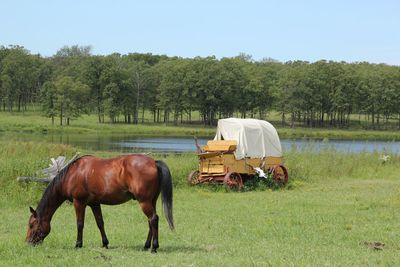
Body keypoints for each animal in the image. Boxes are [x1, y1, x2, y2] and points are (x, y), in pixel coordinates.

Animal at [25, 155, 174, 253]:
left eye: (32, 225)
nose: (28, 242)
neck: (72, 174)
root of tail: (154, 162)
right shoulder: (94, 204)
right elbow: (100, 223)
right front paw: (105, 244)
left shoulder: (79, 202)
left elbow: (80, 224)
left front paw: (78, 244)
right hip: (151, 201)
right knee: (151, 221)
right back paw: (146, 245)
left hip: (144, 201)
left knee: (153, 219)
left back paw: (154, 247)